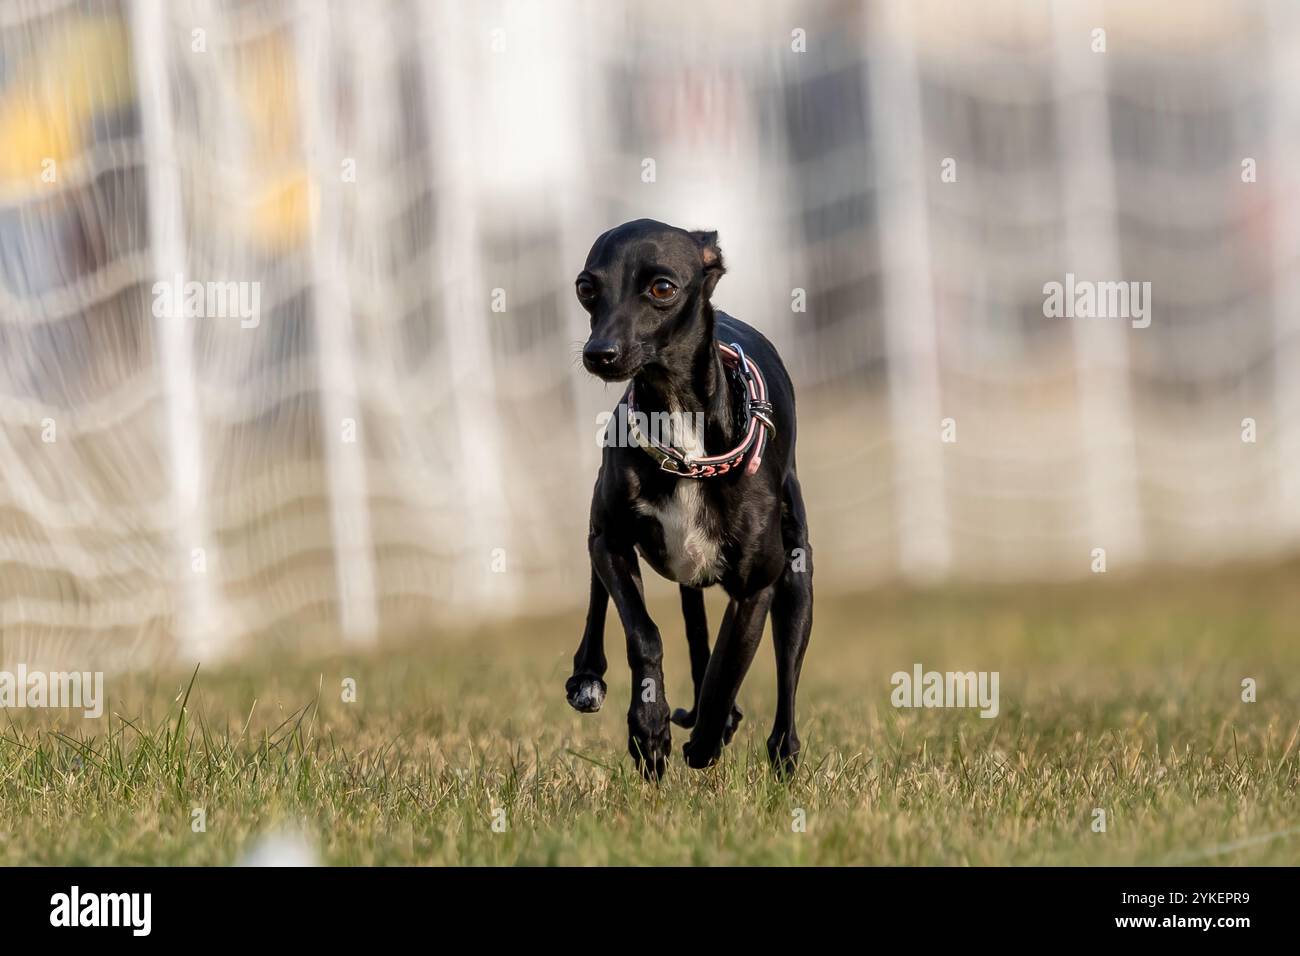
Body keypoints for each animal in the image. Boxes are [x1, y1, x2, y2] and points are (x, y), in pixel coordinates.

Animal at [566, 221, 811, 780]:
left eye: (662, 288)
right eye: (586, 288)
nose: (599, 353)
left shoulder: (755, 589)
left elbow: (727, 666)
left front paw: (704, 742)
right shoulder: (612, 544)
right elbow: (645, 634)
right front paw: (648, 729)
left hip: (796, 580)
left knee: (785, 674)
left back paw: (780, 753)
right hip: (608, 534)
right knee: (607, 598)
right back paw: (588, 676)